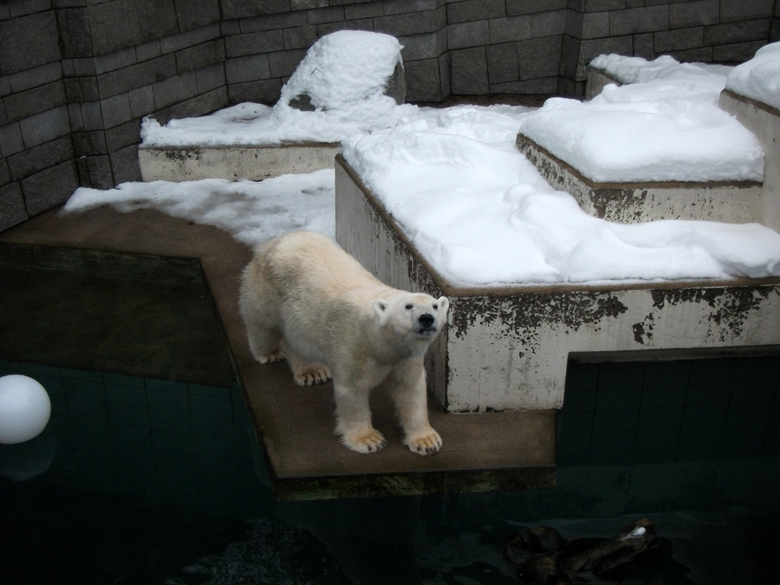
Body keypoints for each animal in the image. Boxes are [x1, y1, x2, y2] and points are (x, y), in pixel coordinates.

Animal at [238, 230, 448, 454]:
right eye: (408, 306)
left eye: (435, 306)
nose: (426, 318)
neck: (378, 342)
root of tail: (277, 240)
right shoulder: (353, 346)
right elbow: (352, 391)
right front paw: (369, 440)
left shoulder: (406, 357)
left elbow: (410, 389)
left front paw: (426, 441)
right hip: (267, 288)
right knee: (262, 325)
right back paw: (270, 353)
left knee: (298, 341)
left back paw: (312, 372)